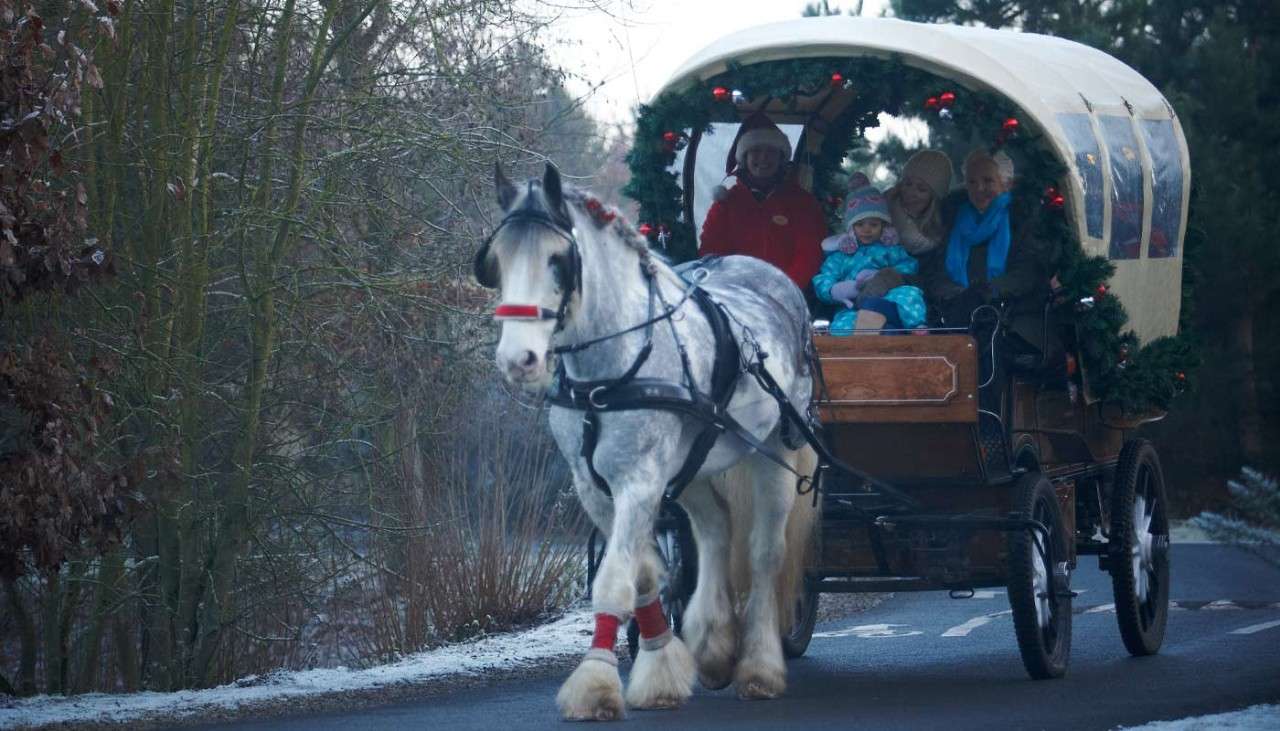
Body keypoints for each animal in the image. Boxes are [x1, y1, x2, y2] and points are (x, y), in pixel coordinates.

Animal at [476, 163, 814, 722]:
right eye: (496, 260)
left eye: (557, 259)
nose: (518, 359)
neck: (607, 374)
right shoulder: (595, 487)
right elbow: (646, 577)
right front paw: (661, 665)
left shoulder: (639, 480)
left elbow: (615, 578)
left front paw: (596, 685)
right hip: (694, 465)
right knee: (716, 531)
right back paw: (713, 647)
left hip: (778, 451)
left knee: (766, 551)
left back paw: (760, 668)